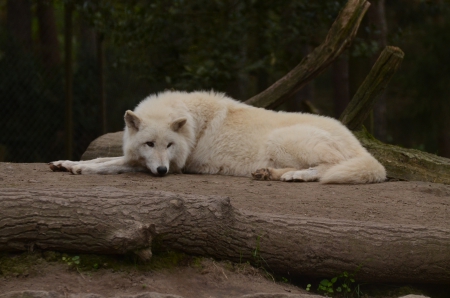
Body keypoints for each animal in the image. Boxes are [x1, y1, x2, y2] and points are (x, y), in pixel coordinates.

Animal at [49, 91, 386, 184]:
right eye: (149, 144)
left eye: (169, 145)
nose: (162, 171)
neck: (193, 126)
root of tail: (364, 149)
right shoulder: (139, 157)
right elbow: (104, 157)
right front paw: (64, 163)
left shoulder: (177, 165)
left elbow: (109, 164)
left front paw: (80, 169)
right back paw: (268, 173)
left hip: (281, 139)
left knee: (327, 169)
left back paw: (294, 176)